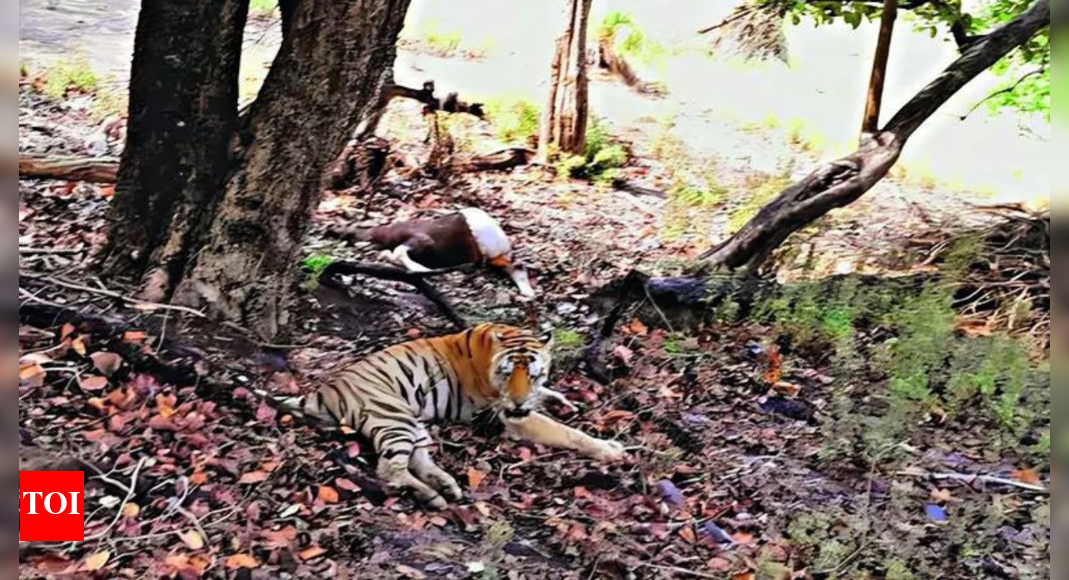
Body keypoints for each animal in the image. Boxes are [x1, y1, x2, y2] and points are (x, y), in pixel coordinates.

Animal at [263, 323, 626, 509]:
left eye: (534, 374)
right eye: (508, 374)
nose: (520, 400)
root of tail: (324, 390)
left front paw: (559, 400)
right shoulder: (515, 418)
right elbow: (567, 433)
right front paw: (609, 450)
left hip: (414, 423)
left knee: (417, 460)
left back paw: (447, 486)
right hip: (393, 417)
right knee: (389, 470)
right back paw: (434, 496)